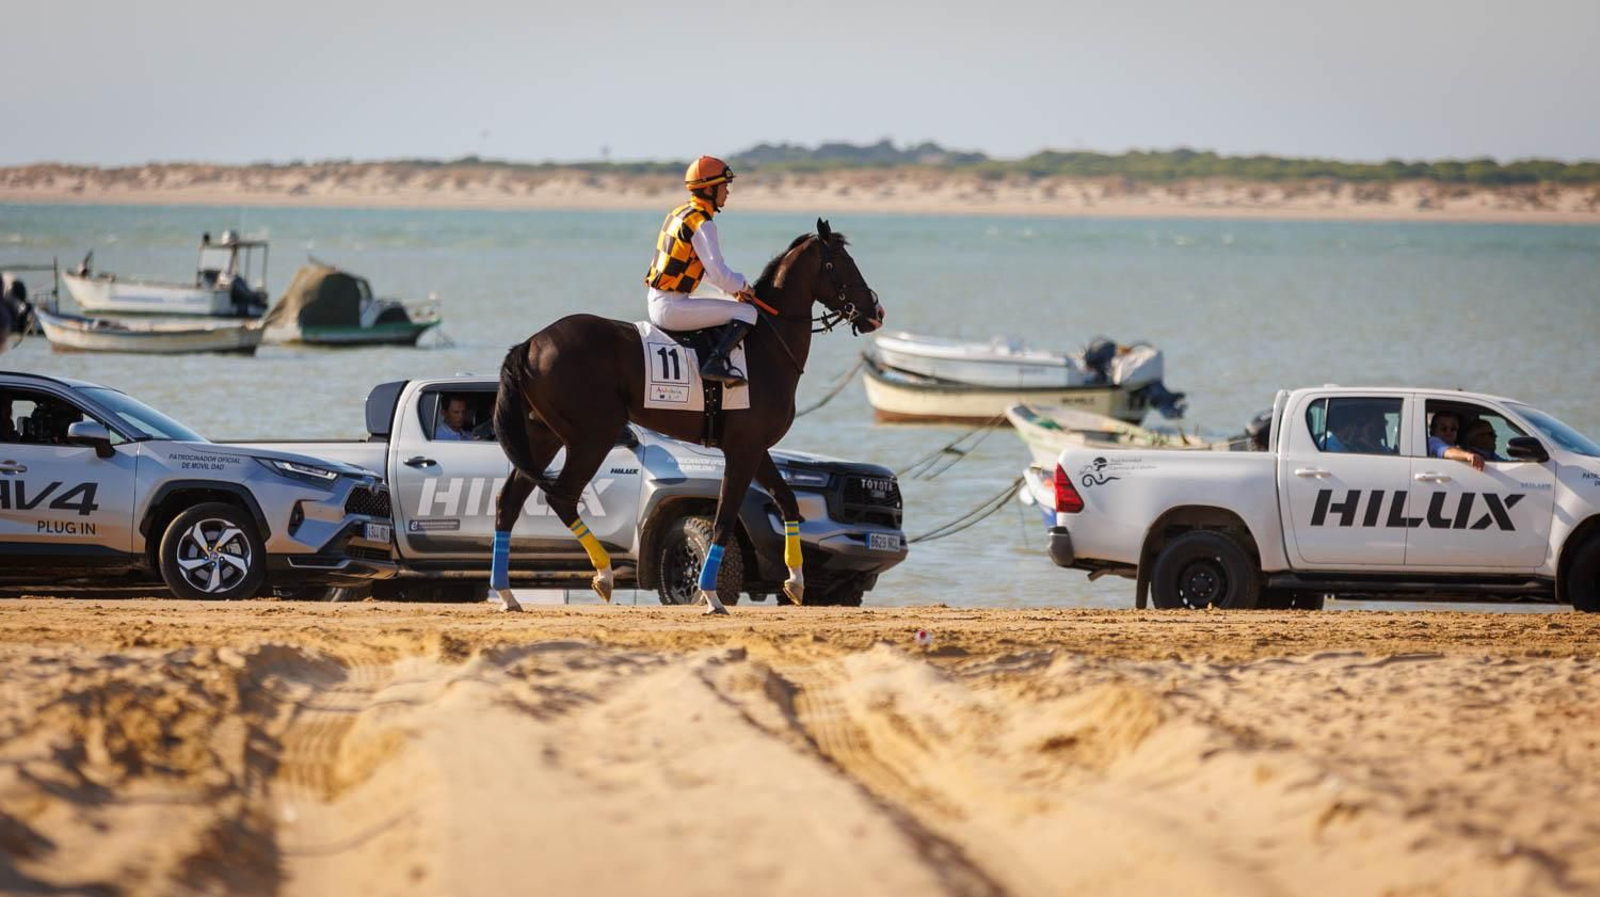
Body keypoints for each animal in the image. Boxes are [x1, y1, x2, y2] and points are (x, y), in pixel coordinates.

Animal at [490, 219, 884, 614]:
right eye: (841, 264)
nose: (876, 312)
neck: (766, 347)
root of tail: (532, 343)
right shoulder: (743, 449)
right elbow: (725, 516)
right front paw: (711, 594)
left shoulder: (756, 448)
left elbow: (787, 500)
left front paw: (796, 581)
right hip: (593, 437)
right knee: (562, 497)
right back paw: (603, 574)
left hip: (543, 437)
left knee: (508, 502)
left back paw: (507, 593)